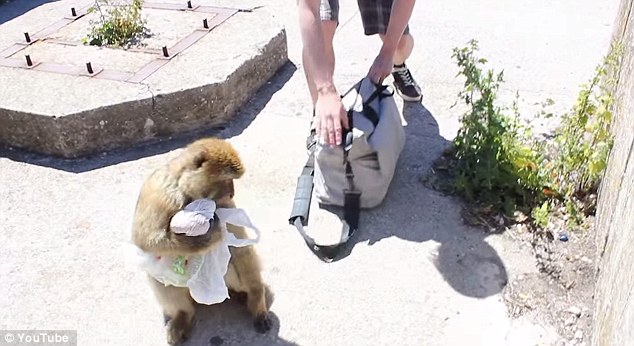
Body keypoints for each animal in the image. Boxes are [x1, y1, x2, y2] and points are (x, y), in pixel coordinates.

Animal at [131, 137, 272, 344]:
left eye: (232, 180)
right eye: (226, 179)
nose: (232, 193)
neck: (187, 191)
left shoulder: (222, 204)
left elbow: (240, 248)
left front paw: (256, 300)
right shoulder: (159, 192)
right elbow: (145, 240)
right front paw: (208, 236)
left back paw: (242, 293)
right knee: (156, 274)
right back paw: (182, 315)